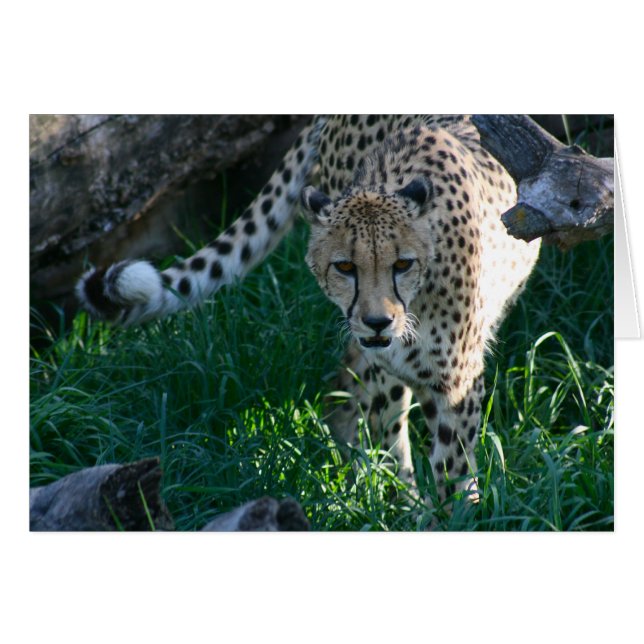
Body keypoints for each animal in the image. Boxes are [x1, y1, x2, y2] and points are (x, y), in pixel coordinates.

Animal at [77, 115, 541, 509]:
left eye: (402, 264)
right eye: (346, 267)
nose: (377, 322)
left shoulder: (457, 380)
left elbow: (452, 467)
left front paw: (454, 515)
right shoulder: (390, 368)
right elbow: (395, 442)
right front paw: (407, 508)